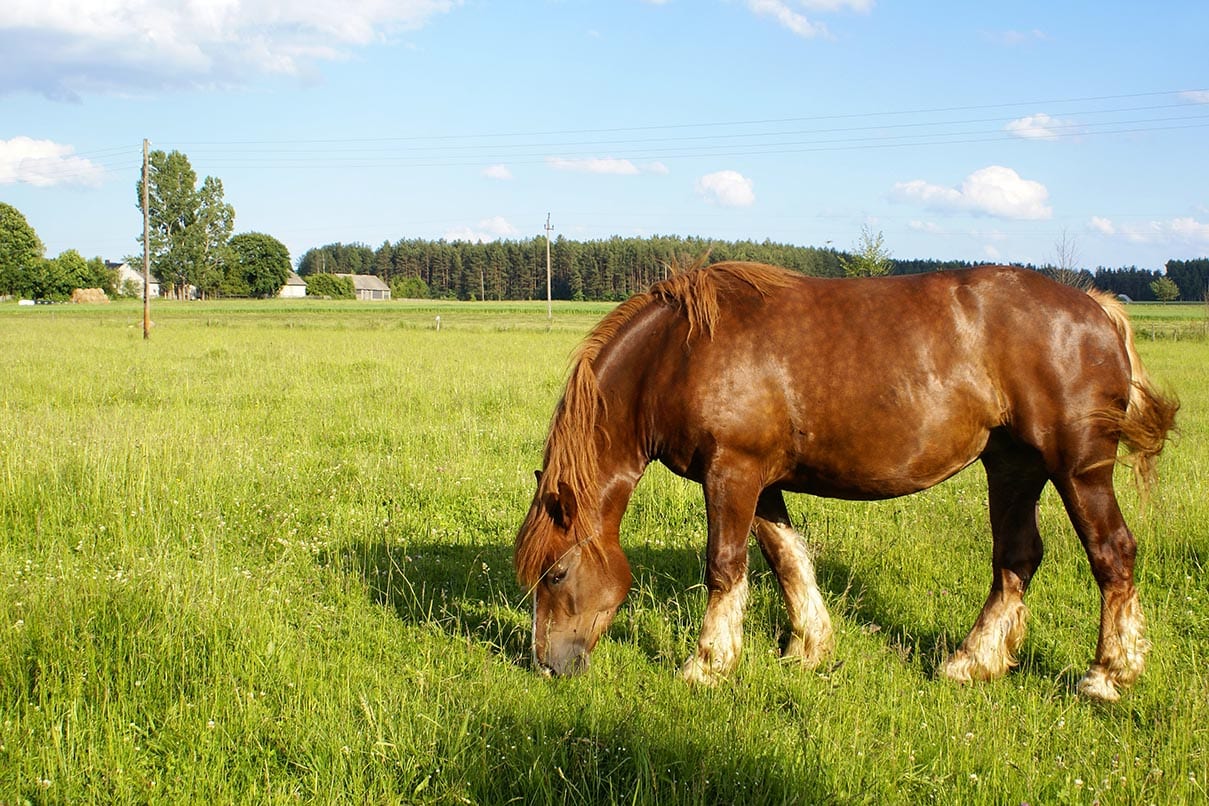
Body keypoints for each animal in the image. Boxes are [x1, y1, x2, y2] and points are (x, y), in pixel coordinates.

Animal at [514, 260, 1177, 701]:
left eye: (557, 573)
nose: (545, 665)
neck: (679, 353)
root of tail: (1097, 307)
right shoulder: (762, 481)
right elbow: (786, 559)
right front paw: (810, 649)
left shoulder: (732, 472)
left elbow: (724, 567)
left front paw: (707, 664)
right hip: (1013, 466)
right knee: (1016, 559)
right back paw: (971, 662)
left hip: (1078, 468)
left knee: (1112, 554)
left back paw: (1107, 674)